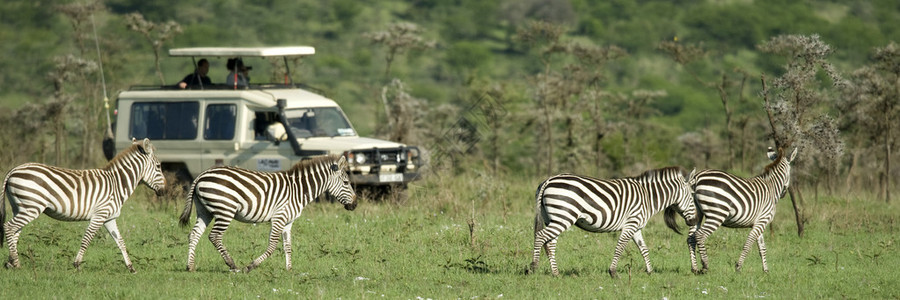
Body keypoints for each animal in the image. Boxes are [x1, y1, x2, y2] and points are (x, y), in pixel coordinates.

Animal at [0, 138, 166, 272]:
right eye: (158, 166)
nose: (165, 191)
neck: (117, 184)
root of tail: (13, 170)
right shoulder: (99, 215)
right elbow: (87, 239)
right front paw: (77, 264)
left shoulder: (109, 218)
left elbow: (120, 242)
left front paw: (131, 267)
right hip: (31, 207)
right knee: (9, 227)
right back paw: (15, 262)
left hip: (20, 207)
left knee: (15, 231)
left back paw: (11, 263)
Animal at [179, 154, 356, 274]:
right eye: (346, 182)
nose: (355, 205)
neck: (298, 190)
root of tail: (201, 175)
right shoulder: (279, 217)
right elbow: (272, 246)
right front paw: (251, 266)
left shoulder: (288, 221)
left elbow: (288, 246)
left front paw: (289, 269)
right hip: (225, 210)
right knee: (214, 236)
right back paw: (233, 265)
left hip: (205, 211)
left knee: (194, 234)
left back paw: (190, 266)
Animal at [524, 165, 700, 278]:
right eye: (693, 197)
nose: (694, 220)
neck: (648, 197)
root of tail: (549, 180)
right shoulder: (630, 225)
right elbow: (620, 247)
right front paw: (613, 272)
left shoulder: (636, 227)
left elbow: (644, 249)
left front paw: (650, 271)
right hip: (563, 216)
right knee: (541, 237)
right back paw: (533, 268)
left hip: (553, 218)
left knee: (550, 243)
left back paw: (556, 273)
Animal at [688, 146, 800, 274]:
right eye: (790, 172)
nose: (783, 194)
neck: (771, 187)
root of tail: (697, 177)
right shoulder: (763, 220)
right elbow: (748, 244)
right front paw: (738, 267)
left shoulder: (759, 222)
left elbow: (762, 248)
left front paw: (766, 270)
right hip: (717, 214)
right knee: (700, 235)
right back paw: (705, 265)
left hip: (696, 212)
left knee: (691, 238)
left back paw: (694, 268)